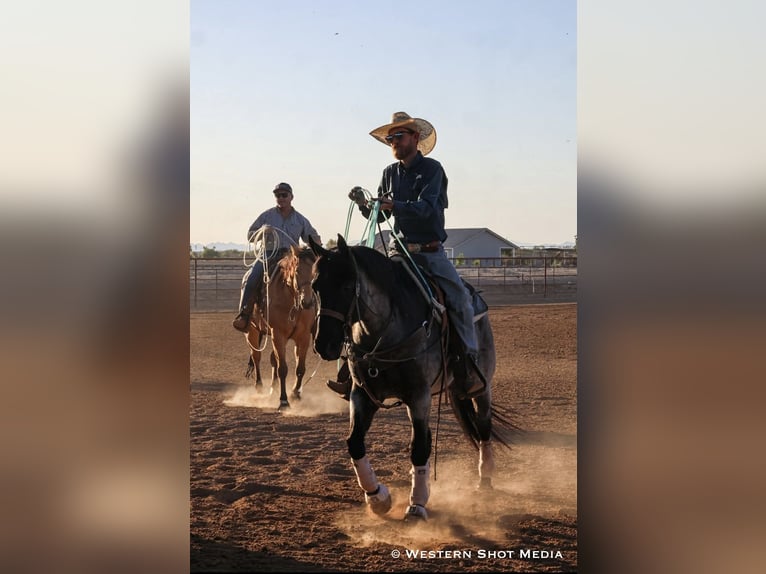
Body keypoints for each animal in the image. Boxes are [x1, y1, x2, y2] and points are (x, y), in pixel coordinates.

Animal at [243, 245, 317, 410]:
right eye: (297, 271)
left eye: (315, 273)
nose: (307, 302)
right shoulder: (278, 335)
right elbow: (283, 368)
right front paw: (283, 401)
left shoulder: (303, 337)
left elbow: (300, 369)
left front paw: (295, 394)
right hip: (252, 331)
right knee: (256, 357)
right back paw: (259, 387)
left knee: (272, 359)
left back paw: (273, 388)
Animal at [308, 235, 516, 521]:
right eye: (315, 286)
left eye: (348, 285)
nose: (323, 344)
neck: (385, 330)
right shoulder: (362, 394)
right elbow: (355, 443)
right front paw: (378, 497)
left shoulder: (419, 395)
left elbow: (419, 447)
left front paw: (417, 503)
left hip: (480, 388)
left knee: (483, 427)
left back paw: (484, 479)